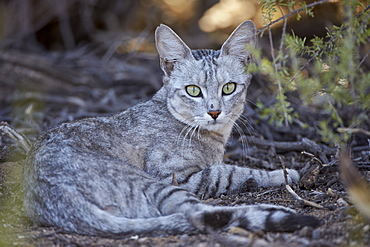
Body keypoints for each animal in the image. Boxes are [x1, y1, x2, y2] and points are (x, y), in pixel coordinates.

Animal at [23, 20, 318, 237]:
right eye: (193, 90)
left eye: (229, 88)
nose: (214, 111)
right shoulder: (177, 175)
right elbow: (233, 172)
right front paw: (283, 174)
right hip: (154, 185)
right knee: (199, 215)